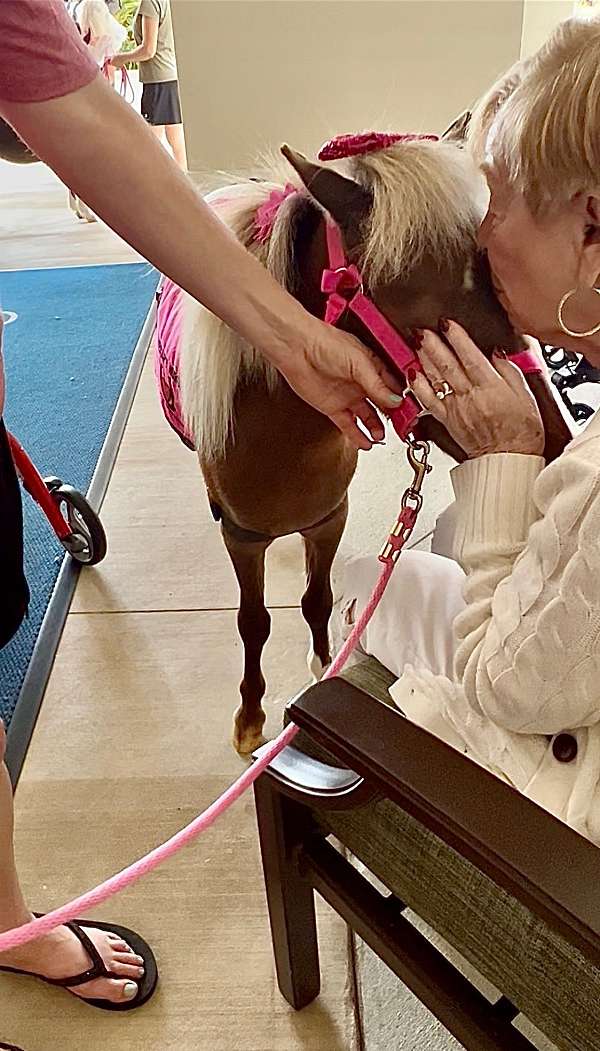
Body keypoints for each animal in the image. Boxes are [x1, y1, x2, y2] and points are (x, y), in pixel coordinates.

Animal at [155, 119, 571, 756]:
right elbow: (254, 621)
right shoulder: (243, 541)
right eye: (411, 301)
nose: (556, 446)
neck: (283, 442)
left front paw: (321, 663)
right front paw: (250, 716)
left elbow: (317, 598)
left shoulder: (329, 518)